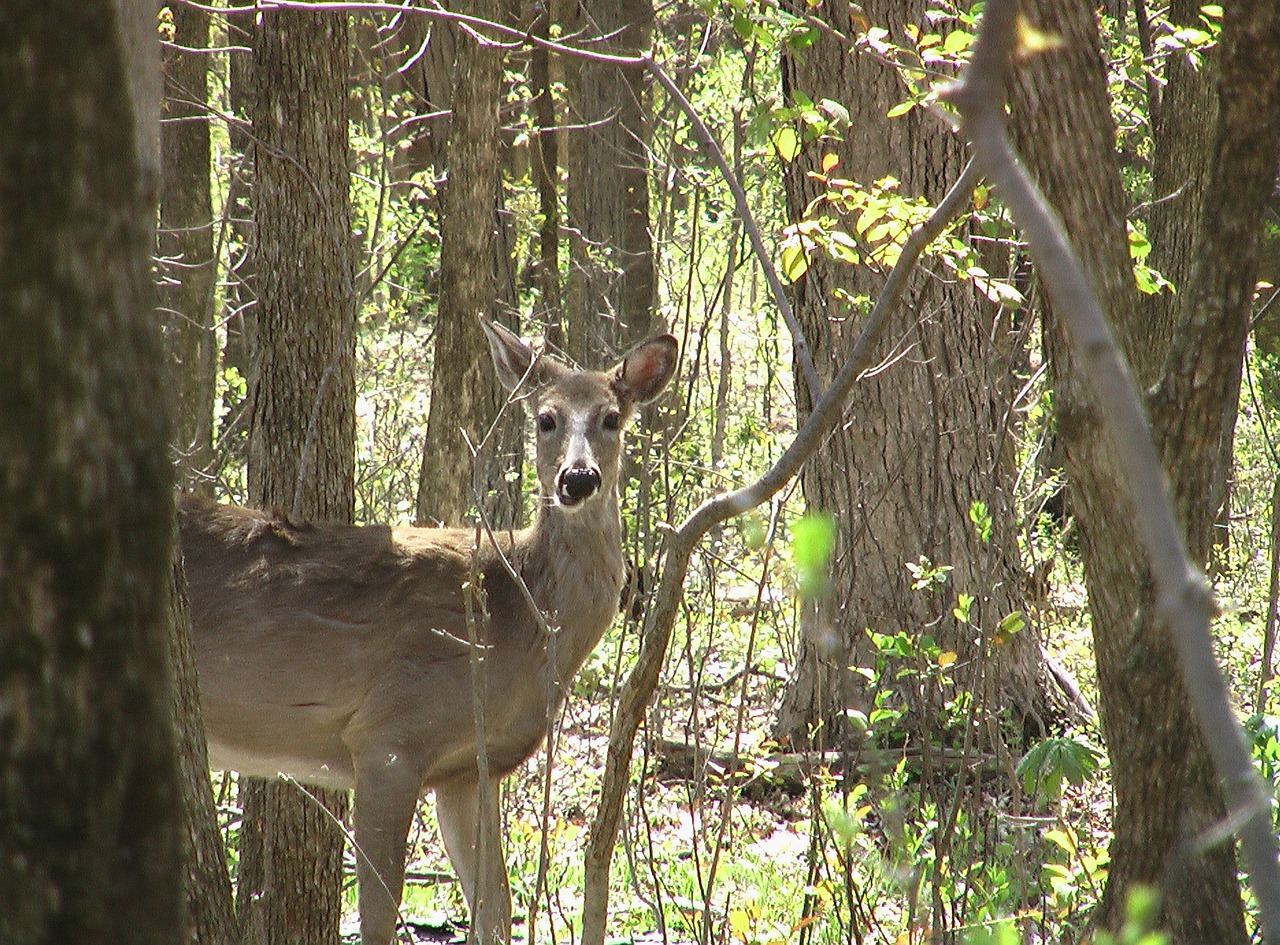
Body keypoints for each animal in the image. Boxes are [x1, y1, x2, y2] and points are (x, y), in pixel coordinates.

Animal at [180, 318, 680, 942]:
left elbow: (494, 904)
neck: (513, 619)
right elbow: (378, 913)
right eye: (546, 418)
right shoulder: (390, 734)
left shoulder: (467, 770)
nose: (578, 479)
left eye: (612, 417)